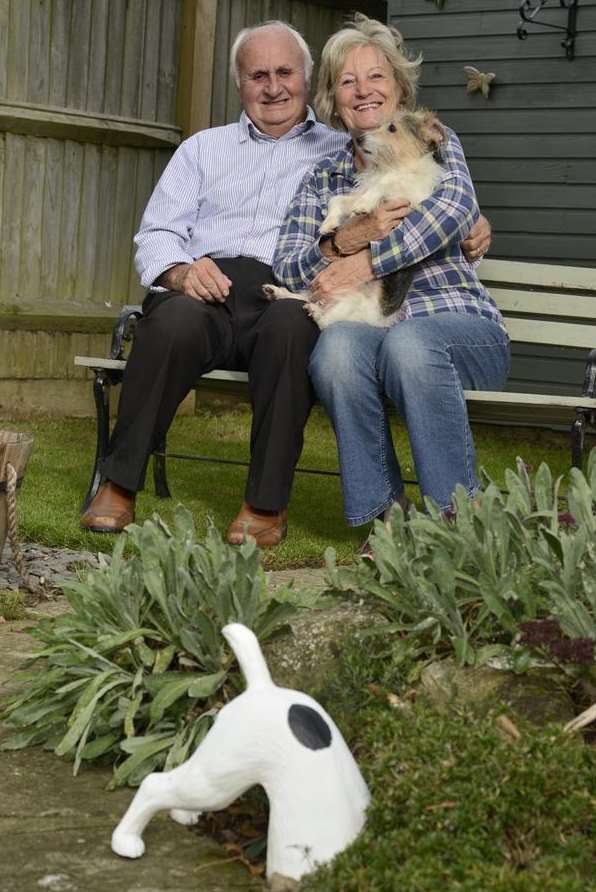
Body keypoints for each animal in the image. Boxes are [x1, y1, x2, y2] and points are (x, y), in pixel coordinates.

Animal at [264, 109, 444, 328]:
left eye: (392, 128)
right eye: (376, 124)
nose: (359, 138)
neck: (390, 166)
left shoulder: (407, 197)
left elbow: (385, 184)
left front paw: (364, 205)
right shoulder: (358, 193)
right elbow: (337, 200)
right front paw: (328, 224)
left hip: (353, 299)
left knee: (325, 322)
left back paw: (315, 312)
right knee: (306, 297)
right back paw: (276, 292)